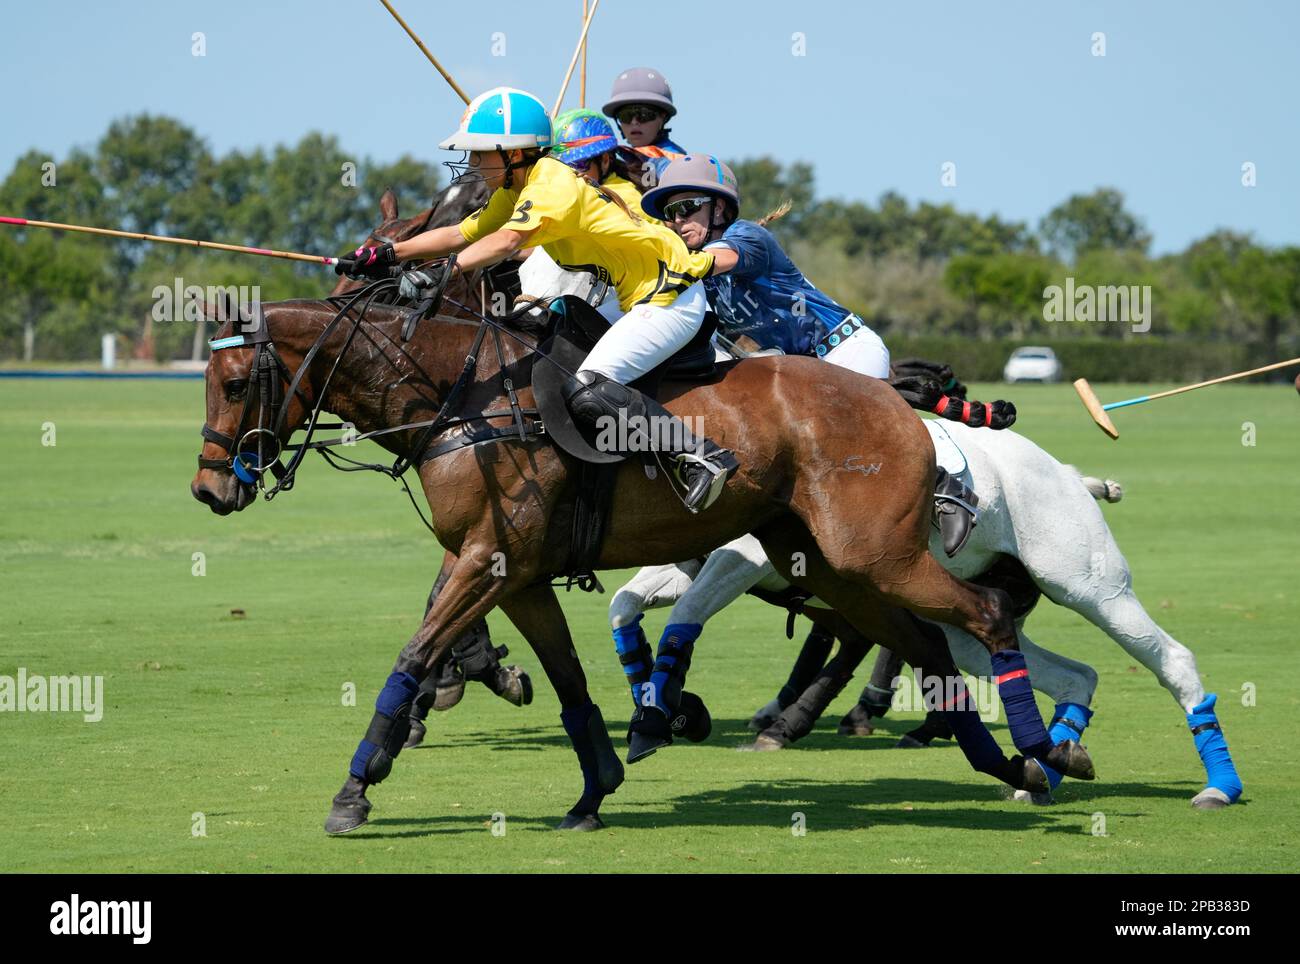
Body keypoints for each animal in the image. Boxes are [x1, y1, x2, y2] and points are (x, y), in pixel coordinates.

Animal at [188, 281, 1092, 836]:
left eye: (232, 383)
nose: (208, 488)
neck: (460, 399)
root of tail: (896, 401)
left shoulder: (485, 561)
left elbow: (413, 657)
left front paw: (355, 789)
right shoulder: (513, 574)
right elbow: (566, 684)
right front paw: (595, 791)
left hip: (873, 554)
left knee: (982, 617)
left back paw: (1043, 749)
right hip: (837, 566)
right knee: (926, 644)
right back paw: (1007, 761)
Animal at [613, 420, 1242, 805]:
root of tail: (1069, 474)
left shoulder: (745, 557)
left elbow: (686, 615)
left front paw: (671, 712)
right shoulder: (691, 560)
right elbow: (627, 606)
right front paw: (659, 705)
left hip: (1090, 585)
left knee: (1171, 657)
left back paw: (1219, 786)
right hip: (966, 619)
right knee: (1074, 675)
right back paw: (1045, 772)